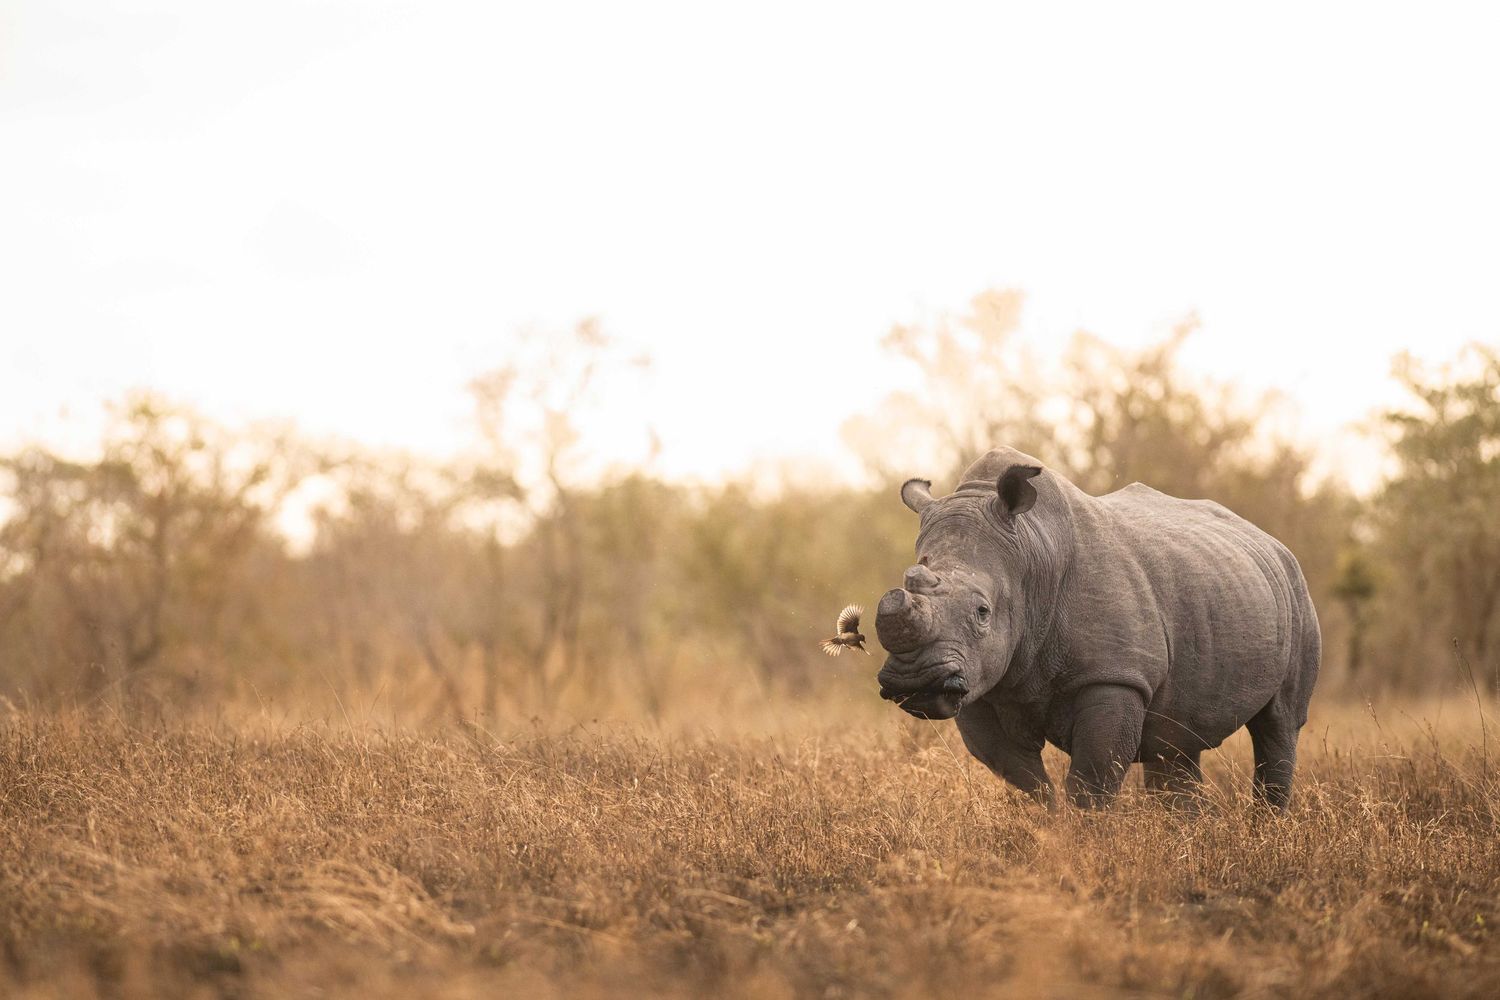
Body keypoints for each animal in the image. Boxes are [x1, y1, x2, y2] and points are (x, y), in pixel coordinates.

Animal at [875, 447, 1320, 809]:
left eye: (983, 611)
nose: (915, 679)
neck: (1031, 555)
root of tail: (1271, 541)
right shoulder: (983, 685)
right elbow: (1022, 777)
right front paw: (1048, 828)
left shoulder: (1115, 675)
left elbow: (1092, 782)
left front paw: (1084, 841)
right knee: (1175, 745)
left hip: (1296, 590)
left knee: (1279, 725)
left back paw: (1267, 828)